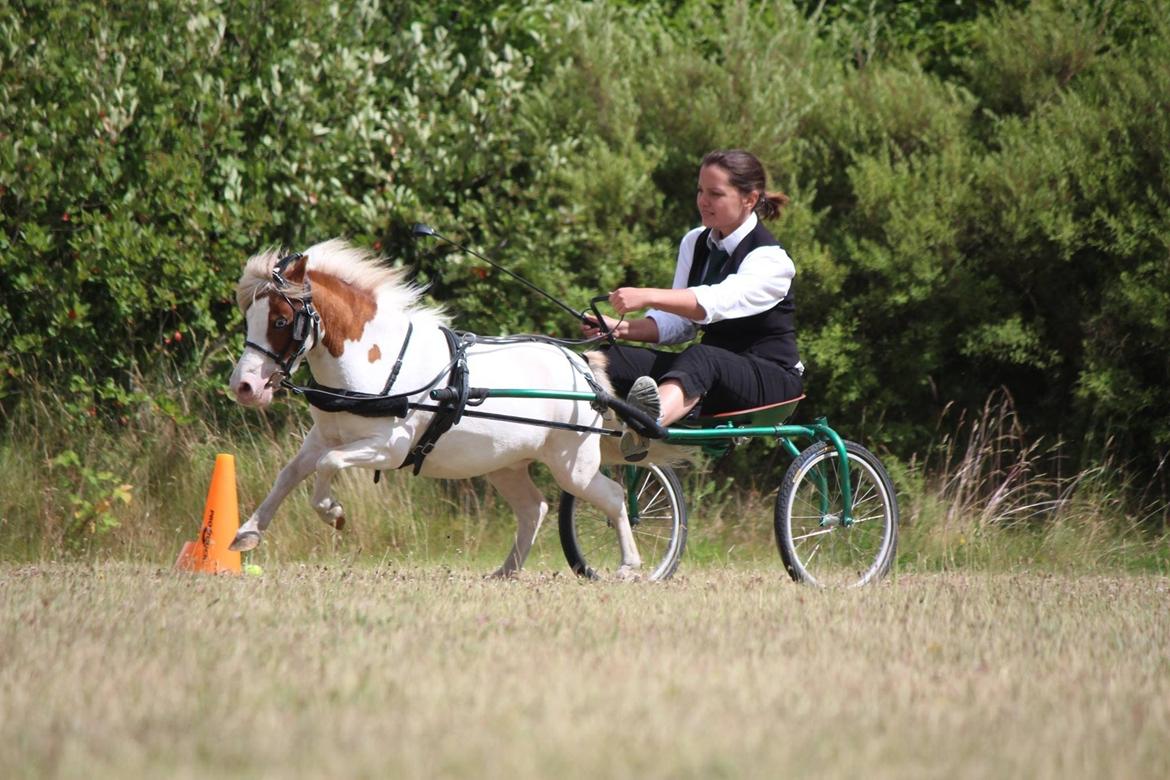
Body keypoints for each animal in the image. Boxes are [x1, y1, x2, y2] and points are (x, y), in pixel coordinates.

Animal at [225, 240, 650, 577]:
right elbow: (290, 473)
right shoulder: (323, 436)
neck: (376, 362)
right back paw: (507, 571)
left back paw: (630, 566)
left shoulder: (388, 448)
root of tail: (581, 366)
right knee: (534, 508)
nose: (243, 387)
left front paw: (332, 511)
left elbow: (328, 465)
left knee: (614, 496)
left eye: (282, 321)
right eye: (249, 317)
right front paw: (248, 532)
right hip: (505, 464)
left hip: (573, 465)